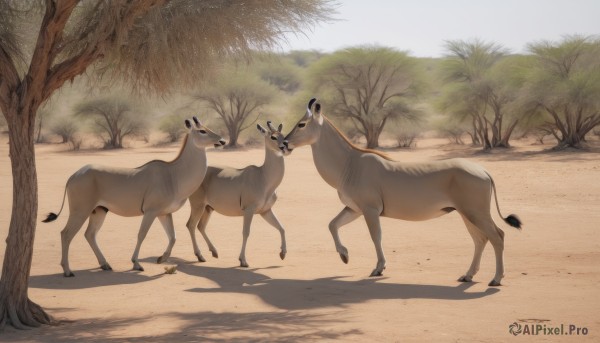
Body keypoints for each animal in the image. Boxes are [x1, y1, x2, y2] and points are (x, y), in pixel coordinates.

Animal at [42, 118, 225, 276]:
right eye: (202, 131)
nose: (222, 141)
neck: (173, 174)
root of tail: (74, 176)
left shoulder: (164, 213)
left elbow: (173, 237)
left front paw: (161, 258)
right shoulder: (151, 212)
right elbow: (141, 234)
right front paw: (136, 263)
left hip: (99, 210)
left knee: (90, 234)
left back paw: (105, 264)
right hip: (81, 211)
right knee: (66, 234)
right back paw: (67, 271)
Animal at [182, 121, 288, 268]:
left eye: (283, 135)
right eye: (273, 137)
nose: (284, 147)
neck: (263, 176)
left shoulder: (265, 211)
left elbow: (282, 227)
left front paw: (282, 254)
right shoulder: (249, 210)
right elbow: (246, 232)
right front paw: (243, 260)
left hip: (208, 208)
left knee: (200, 226)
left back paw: (214, 252)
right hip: (198, 205)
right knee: (191, 225)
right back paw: (200, 255)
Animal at [282, 99, 520, 288]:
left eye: (302, 124)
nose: (284, 143)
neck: (350, 163)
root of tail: (484, 171)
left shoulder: (369, 210)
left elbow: (376, 236)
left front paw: (379, 268)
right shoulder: (353, 209)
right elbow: (332, 225)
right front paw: (344, 255)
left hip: (475, 213)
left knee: (497, 236)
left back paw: (496, 279)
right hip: (466, 214)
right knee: (480, 239)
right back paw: (468, 275)